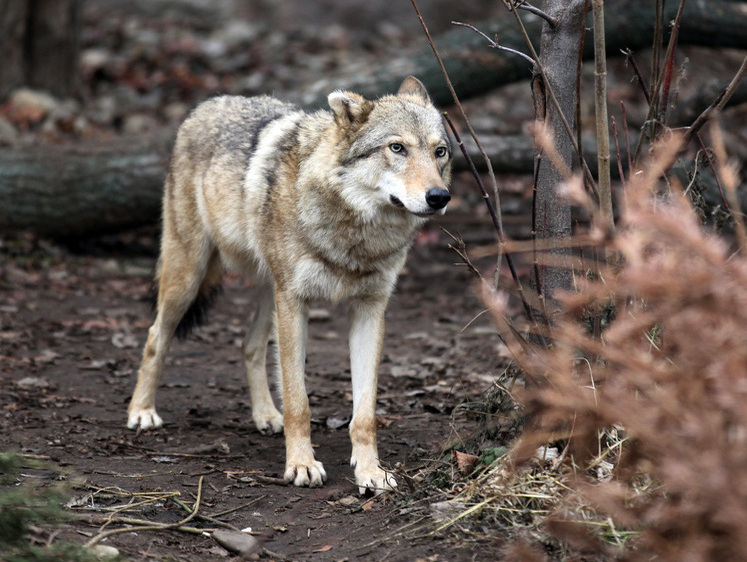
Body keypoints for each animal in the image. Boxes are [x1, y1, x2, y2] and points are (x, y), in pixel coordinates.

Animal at [126, 76, 452, 492]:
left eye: (440, 152)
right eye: (397, 148)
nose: (439, 196)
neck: (355, 236)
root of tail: (205, 105)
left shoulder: (370, 309)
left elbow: (364, 413)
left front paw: (370, 472)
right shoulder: (295, 302)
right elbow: (299, 402)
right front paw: (301, 465)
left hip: (270, 294)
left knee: (249, 345)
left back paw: (266, 415)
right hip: (189, 278)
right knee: (155, 336)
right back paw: (141, 411)